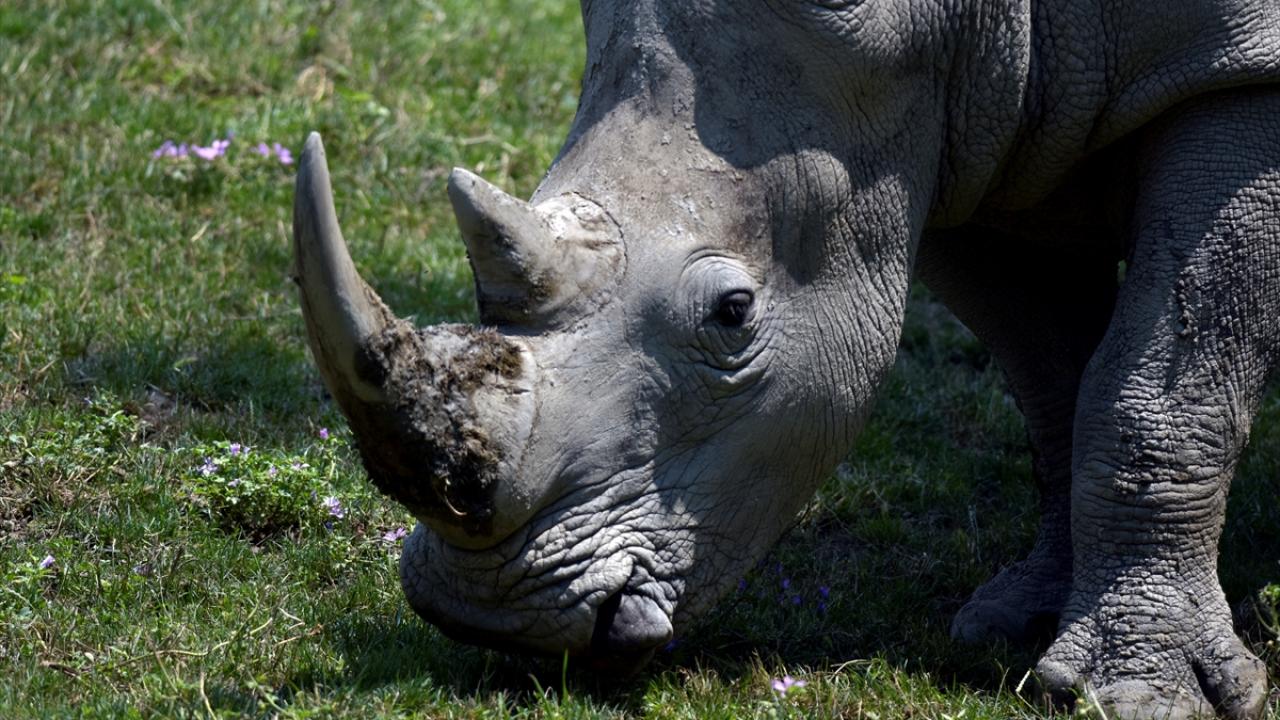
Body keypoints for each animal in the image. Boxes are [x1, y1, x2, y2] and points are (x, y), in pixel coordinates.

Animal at [289, 0, 1280, 717]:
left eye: (733, 314)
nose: (488, 618)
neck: (956, 20)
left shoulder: (1240, 75)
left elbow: (1159, 384)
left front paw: (1139, 696)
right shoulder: (977, 117)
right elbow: (1054, 377)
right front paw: (1017, 621)